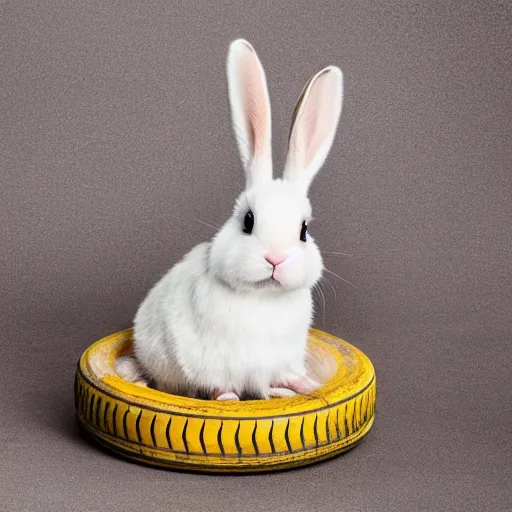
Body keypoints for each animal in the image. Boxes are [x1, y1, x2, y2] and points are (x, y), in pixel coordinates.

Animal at [117, 40, 344, 400]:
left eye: (303, 231)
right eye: (248, 221)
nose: (275, 259)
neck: (262, 298)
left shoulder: (283, 360)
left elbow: (288, 376)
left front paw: (306, 386)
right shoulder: (206, 367)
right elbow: (219, 389)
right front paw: (228, 399)